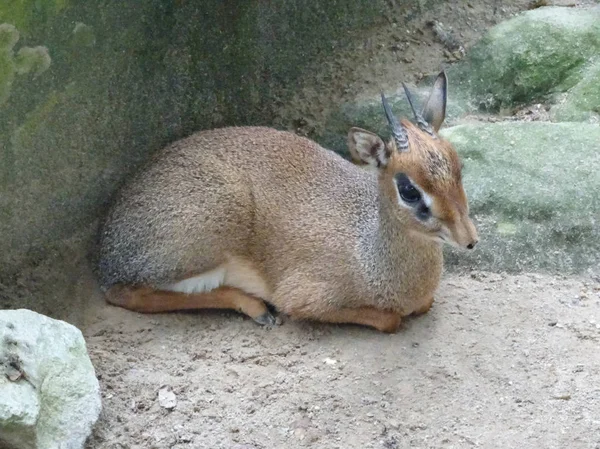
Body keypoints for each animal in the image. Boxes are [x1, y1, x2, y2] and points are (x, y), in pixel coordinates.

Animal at [97, 72, 478, 330]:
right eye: (409, 189)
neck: (367, 251)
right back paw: (257, 308)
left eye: (458, 166)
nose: (469, 240)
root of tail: (106, 245)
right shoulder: (305, 297)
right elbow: (390, 320)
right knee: (123, 293)